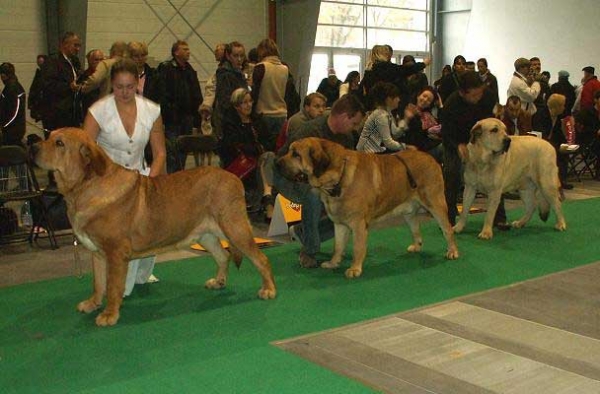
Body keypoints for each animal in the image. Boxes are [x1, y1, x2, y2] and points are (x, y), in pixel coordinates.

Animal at [32, 129, 276, 326]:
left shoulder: (115, 253)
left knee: (261, 259)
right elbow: (98, 283)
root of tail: (234, 177)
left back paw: (269, 289)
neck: (84, 187)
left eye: (59, 143)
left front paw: (109, 315)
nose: (32, 146)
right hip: (205, 234)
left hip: (234, 228)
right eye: (50, 136)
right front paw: (92, 304)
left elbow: (112, 286)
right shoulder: (97, 253)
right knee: (223, 256)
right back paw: (218, 281)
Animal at [276, 138, 460, 278]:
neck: (339, 176)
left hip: (436, 204)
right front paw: (333, 263)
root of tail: (431, 158)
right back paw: (416, 246)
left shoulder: (358, 224)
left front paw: (354, 269)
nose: (277, 163)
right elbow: (338, 246)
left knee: (447, 229)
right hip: (408, 211)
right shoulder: (340, 224)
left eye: (296, 154)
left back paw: (452, 251)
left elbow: (358, 247)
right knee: (415, 228)